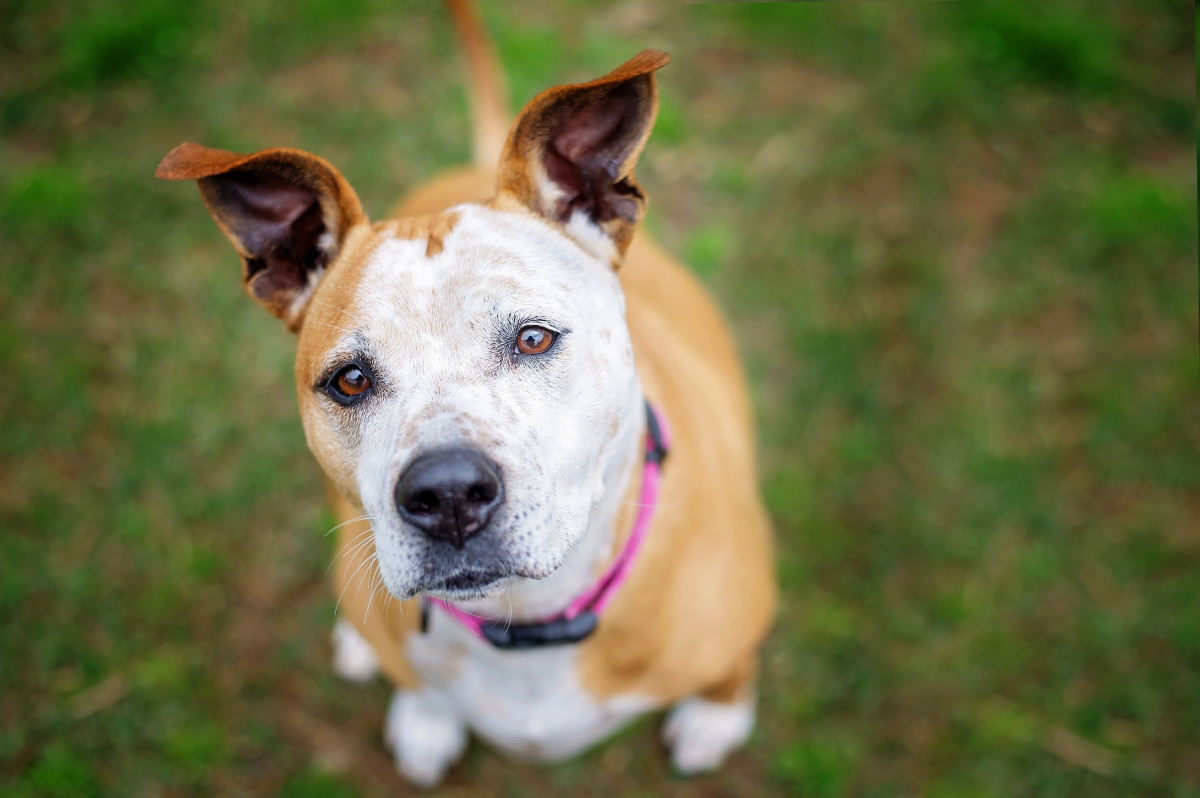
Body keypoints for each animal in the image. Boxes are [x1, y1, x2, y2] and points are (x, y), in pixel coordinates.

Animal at [157, 0, 777, 782]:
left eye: (534, 339)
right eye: (349, 380)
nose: (447, 494)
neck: (528, 620)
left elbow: (729, 671)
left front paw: (715, 718)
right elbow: (421, 688)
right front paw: (424, 719)